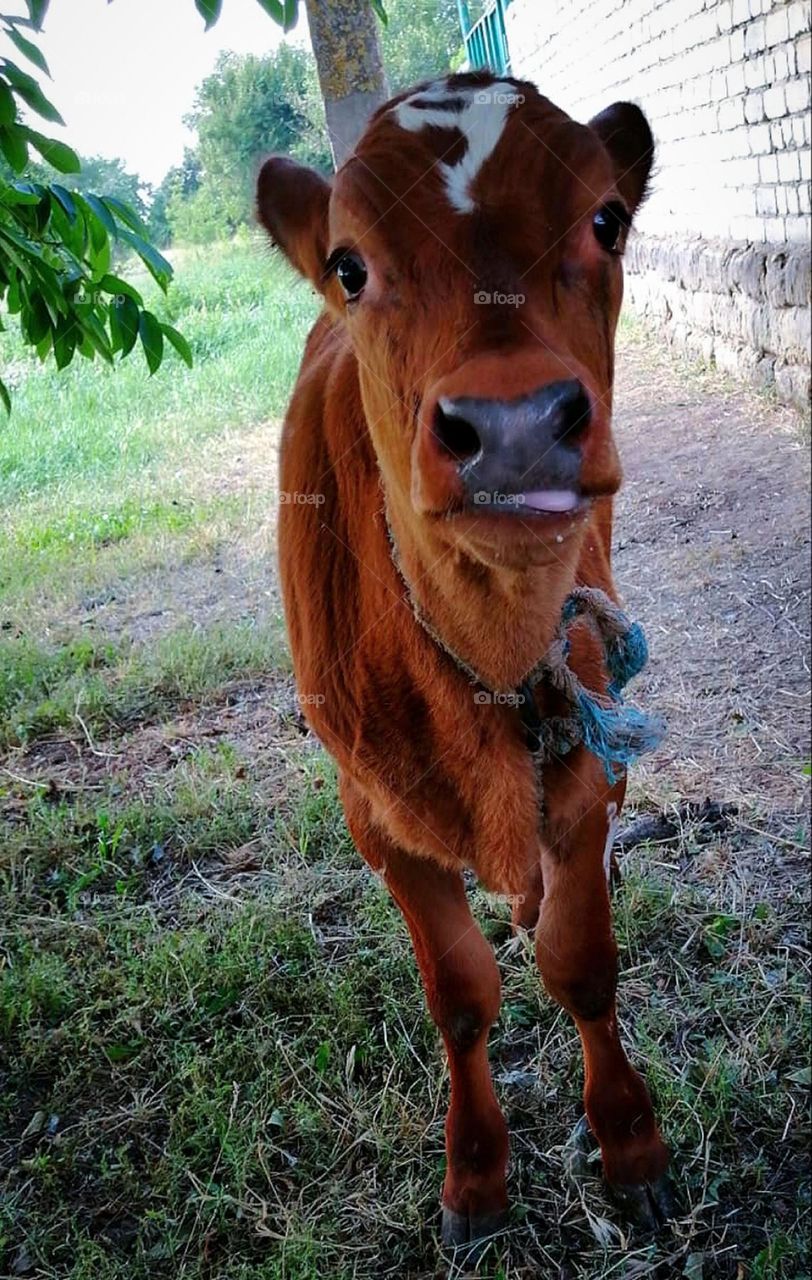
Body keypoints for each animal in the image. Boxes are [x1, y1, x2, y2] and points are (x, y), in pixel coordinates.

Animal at [258, 72, 671, 1249]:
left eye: (605, 220)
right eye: (350, 264)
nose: (514, 423)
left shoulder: (587, 765)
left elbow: (583, 965)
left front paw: (629, 1143)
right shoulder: (375, 813)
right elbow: (460, 994)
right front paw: (476, 1175)